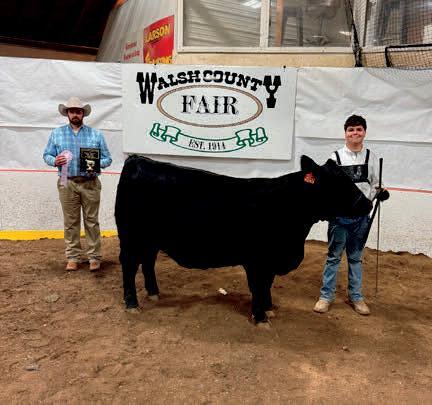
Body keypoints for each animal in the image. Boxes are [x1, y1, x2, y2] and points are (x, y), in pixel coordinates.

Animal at [115, 155, 371, 324]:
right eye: (337, 183)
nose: (368, 203)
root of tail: (138, 160)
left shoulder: (269, 261)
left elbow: (266, 285)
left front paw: (268, 309)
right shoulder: (258, 260)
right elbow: (258, 285)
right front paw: (260, 317)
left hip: (150, 240)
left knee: (147, 262)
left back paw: (153, 293)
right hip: (131, 238)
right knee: (129, 266)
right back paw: (132, 304)